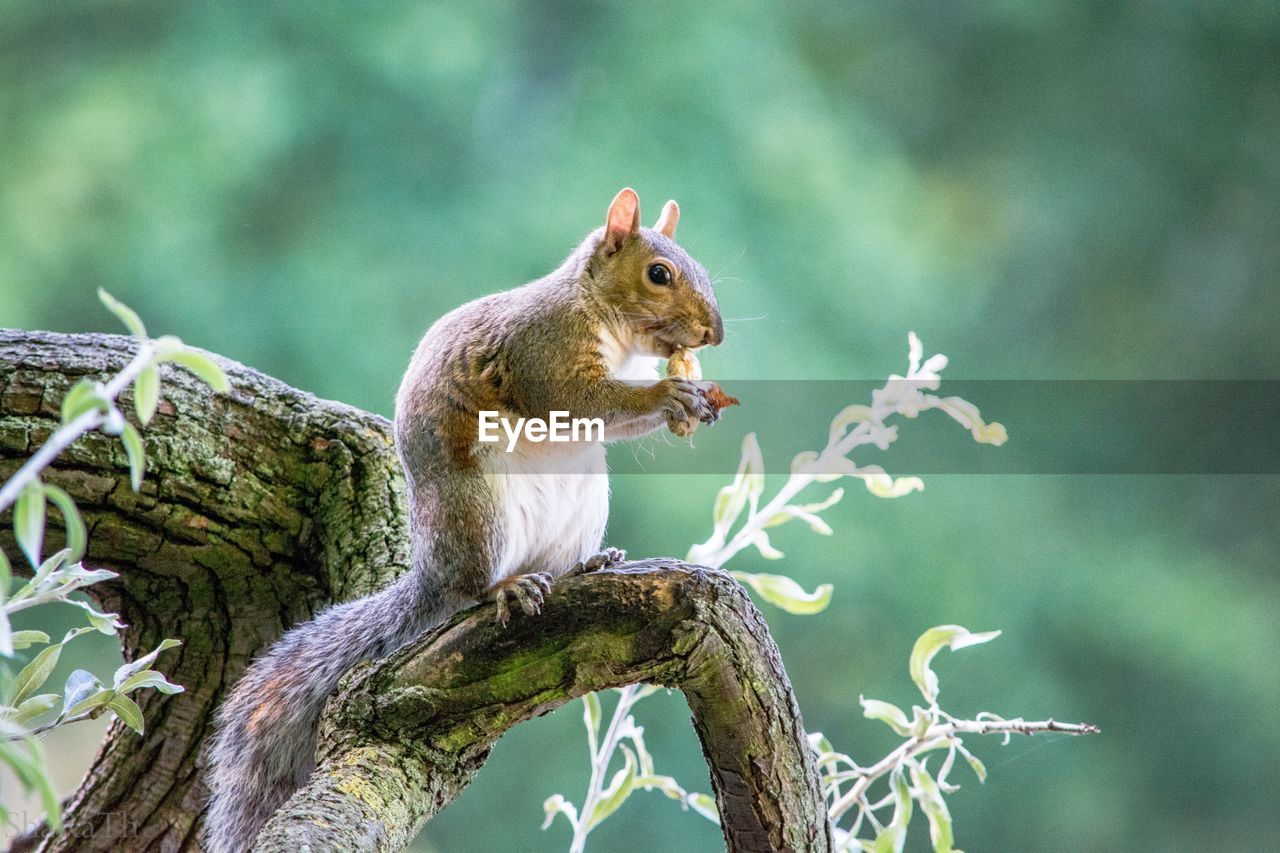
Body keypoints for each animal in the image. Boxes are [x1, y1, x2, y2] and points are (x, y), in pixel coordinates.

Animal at [199, 189, 721, 845]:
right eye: (659, 274)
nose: (713, 333)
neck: (603, 316)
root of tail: (433, 571)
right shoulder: (542, 349)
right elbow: (582, 402)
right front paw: (668, 397)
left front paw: (693, 404)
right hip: (477, 512)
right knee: (474, 587)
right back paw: (507, 588)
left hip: (583, 499)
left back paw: (584, 566)